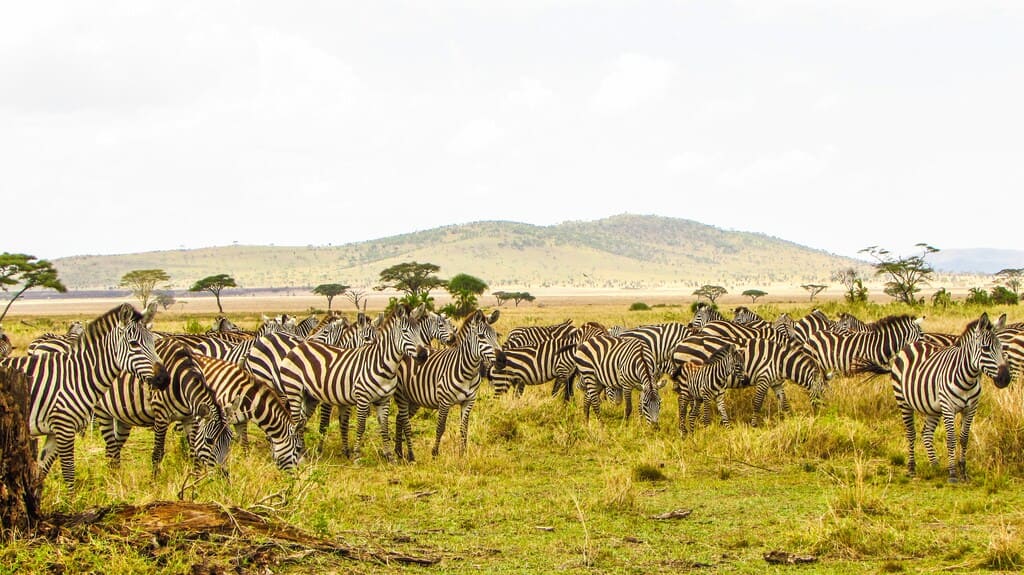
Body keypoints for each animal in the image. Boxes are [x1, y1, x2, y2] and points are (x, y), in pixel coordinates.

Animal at [0, 303, 169, 491]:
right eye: (134, 344)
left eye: (153, 342)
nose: (165, 379)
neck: (77, 376)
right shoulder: (64, 428)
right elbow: (69, 472)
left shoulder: (54, 431)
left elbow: (40, 473)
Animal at [92, 337, 233, 474]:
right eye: (209, 440)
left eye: (230, 440)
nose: (224, 475)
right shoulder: (161, 416)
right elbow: (158, 453)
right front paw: (155, 480)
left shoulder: (190, 418)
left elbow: (194, 454)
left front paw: (195, 479)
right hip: (102, 412)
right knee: (111, 450)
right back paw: (113, 477)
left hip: (123, 417)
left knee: (114, 449)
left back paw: (116, 476)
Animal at [278, 304, 426, 457]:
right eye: (404, 331)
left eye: (419, 331)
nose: (423, 355)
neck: (382, 365)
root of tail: (299, 346)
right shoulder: (361, 398)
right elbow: (359, 426)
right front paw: (356, 455)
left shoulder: (383, 400)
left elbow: (383, 427)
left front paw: (389, 456)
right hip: (293, 389)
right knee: (296, 420)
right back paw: (299, 451)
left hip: (309, 396)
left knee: (301, 420)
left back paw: (303, 451)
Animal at [393, 310, 504, 461]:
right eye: (481, 336)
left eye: (496, 335)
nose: (503, 360)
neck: (468, 372)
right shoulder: (444, 402)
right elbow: (440, 427)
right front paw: (434, 453)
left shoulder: (469, 401)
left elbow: (464, 428)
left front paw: (463, 453)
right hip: (402, 396)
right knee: (403, 420)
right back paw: (402, 452)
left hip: (414, 400)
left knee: (399, 418)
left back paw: (399, 452)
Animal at [886, 313, 1012, 482]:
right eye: (985, 349)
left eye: (1002, 348)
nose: (1005, 379)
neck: (968, 379)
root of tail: (913, 343)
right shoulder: (948, 407)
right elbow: (951, 439)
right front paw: (952, 473)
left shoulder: (971, 409)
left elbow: (964, 438)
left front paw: (963, 471)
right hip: (903, 400)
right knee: (911, 433)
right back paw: (911, 468)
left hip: (932, 407)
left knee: (926, 434)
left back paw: (935, 465)